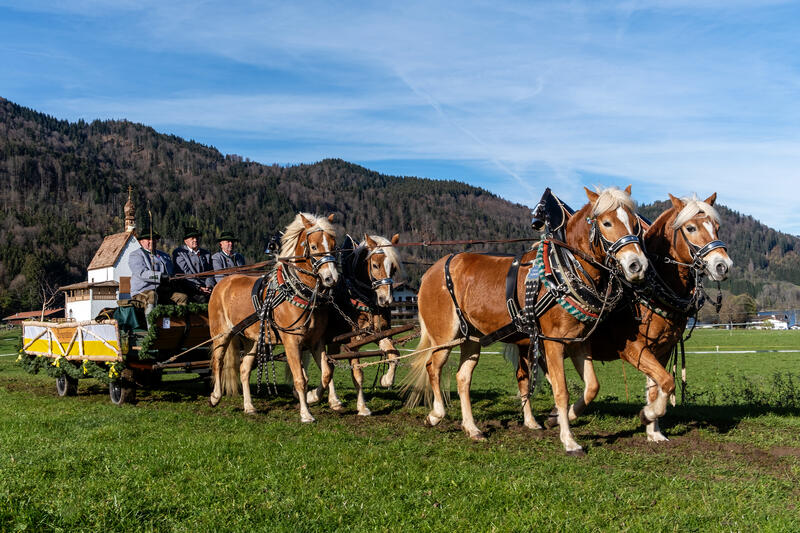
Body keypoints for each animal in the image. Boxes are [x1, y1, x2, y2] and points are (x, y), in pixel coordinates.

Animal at [206, 212, 338, 420]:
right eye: (314, 246)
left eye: (333, 244)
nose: (331, 278)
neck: (299, 293)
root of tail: (223, 282)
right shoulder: (291, 341)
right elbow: (300, 378)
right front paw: (305, 413)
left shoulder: (316, 341)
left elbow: (326, 373)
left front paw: (315, 397)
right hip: (221, 333)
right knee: (217, 362)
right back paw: (215, 396)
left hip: (252, 339)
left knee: (244, 369)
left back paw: (249, 406)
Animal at [308, 233, 406, 416]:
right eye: (375, 265)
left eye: (394, 268)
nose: (386, 300)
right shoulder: (353, 341)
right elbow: (358, 373)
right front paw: (362, 407)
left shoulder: (379, 332)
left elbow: (394, 354)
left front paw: (386, 380)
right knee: (323, 365)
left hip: (333, 341)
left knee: (328, 366)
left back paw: (333, 401)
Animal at [406, 187, 648, 454]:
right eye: (606, 223)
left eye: (634, 224)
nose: (637, 265)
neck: (564, 269)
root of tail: (432, 270)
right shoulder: (553, 342)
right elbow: (560, 390)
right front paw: (569, 439)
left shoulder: (578, 342)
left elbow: (592, 387)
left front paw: (561, 417)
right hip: (445, 336)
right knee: (433, 367)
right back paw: (436, 414)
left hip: (472, 338)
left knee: (463, 378)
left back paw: (472, 428)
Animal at [564, 193, 736, 438]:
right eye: (691, 227)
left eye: (717, 228)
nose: (723, 265)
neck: (648, 292)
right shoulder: (634, 349)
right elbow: (667, 381)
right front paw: (648, 415)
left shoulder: (662, 349)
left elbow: (658, 386)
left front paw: (654, 431)